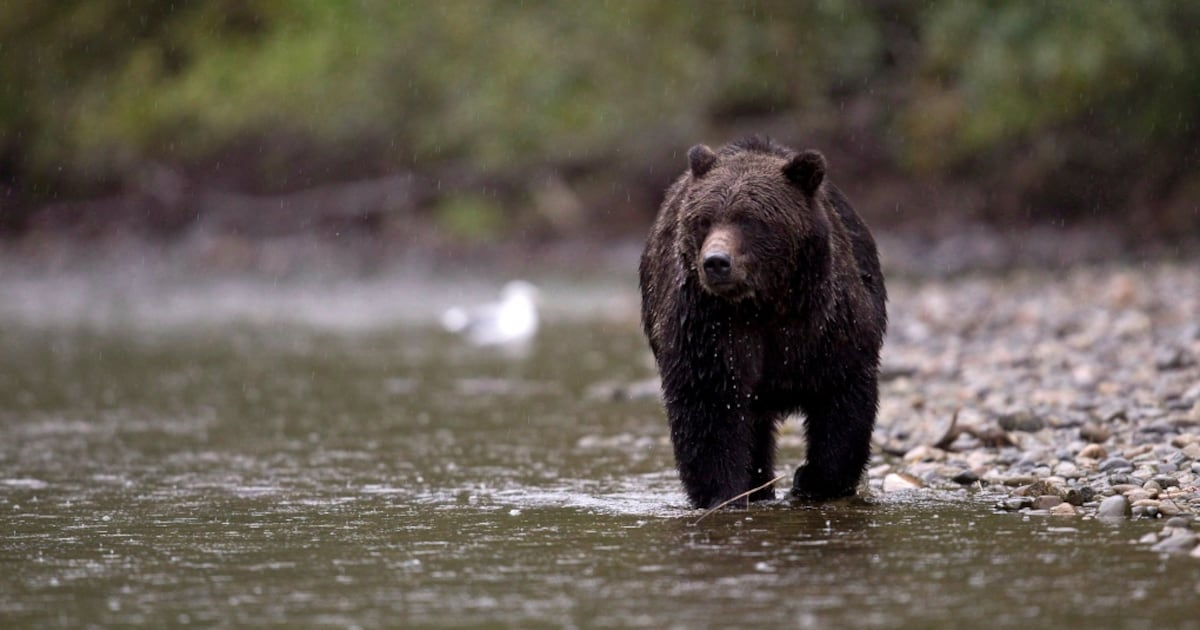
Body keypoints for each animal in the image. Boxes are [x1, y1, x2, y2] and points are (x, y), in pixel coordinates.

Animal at [639, 136, 887, 509]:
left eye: (750, 219)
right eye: (704, 220)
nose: (716, 262)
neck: (763, 305)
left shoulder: (827, 326)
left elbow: (843, 398)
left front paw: (811, 480)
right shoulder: (708, 329)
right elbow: (709, 408)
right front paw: (725, 493)